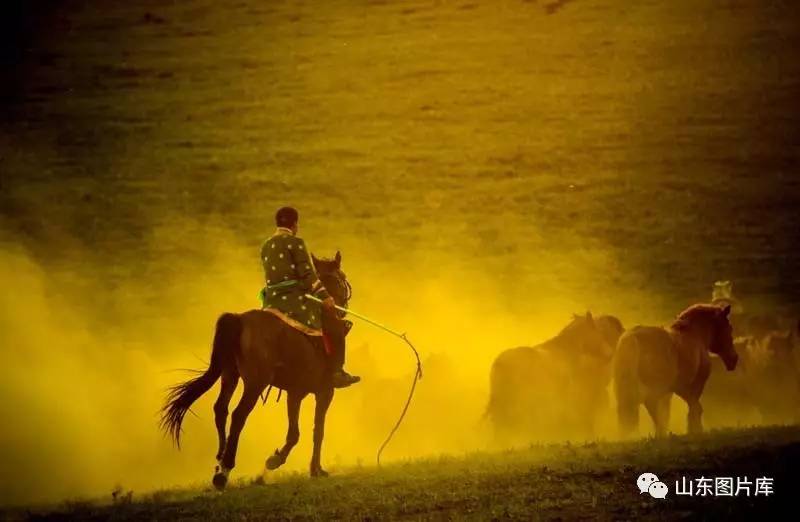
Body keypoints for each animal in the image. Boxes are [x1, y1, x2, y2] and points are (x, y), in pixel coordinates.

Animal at [161, 252, 352, 488]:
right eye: (341, 278)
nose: (342, 306)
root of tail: (239, 319)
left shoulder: (295, 392)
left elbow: (296, 433)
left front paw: (281, 461)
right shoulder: (324, 392)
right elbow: (317, 431)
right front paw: (312, 468)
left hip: (230, 375)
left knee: (221, 409)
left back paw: (219, 460)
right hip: (255, 383)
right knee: (238, 414)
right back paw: (224, 470)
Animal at [612, 302, 736, 436]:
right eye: (729, 328)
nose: (734, 359)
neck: (695, 335)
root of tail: (632, 337)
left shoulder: (672, 391)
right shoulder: (692, 385)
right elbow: (695, 407)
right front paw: (695, 430)